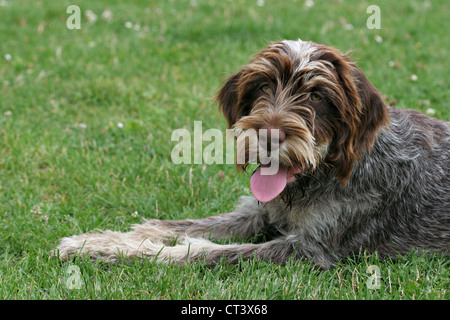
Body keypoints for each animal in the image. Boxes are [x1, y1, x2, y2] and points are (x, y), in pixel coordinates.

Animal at [56, 40, 450, 270]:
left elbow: (204, 250)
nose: (269, 136)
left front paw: (135, 251)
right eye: (263, 86)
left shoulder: (312, 249)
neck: (320, 177)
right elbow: (175, 225)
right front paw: (100, 242)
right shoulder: (257, 213)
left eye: (318, 96)